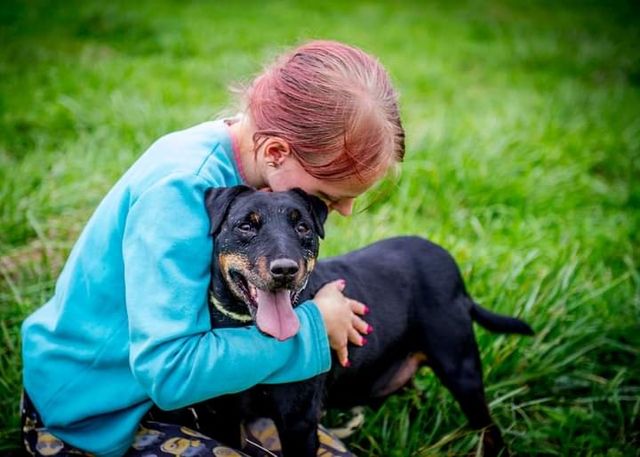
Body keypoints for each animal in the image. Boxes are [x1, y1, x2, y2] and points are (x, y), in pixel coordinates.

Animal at [196, 185, 536, 456]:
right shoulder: (220, 417)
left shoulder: (298, 422)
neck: (248, 331)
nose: (285, 270)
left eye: (303, 227)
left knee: (489, 429)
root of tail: (454, 270)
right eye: (245, 226)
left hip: (461, 370)